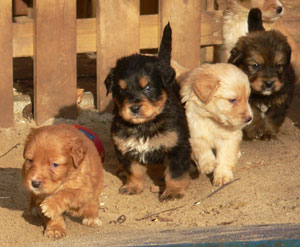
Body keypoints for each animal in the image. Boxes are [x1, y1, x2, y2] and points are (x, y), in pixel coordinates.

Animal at [104, 23, 191, 201]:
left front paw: (173, 192)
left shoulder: (177, 147)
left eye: (148, 87)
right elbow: (134, 171)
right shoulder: (125, 148)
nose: (134, 108)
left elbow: (175, 174)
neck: (144, 126)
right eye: (121, 90)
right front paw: (132, 186)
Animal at [229, 8, 294, 140]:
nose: (269, 83)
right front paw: (254, 131)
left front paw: (269, 133)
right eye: (255, 66)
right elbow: (254, 115)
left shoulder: (281, 99)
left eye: (278, 66)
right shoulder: (247, 100)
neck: (262, 96)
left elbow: (272, 118)